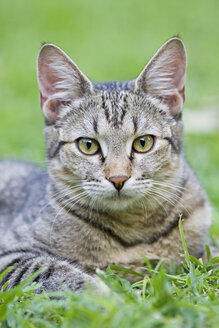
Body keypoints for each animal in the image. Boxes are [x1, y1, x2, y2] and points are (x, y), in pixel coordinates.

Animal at [0, 37, 212, 292]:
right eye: (88, 145)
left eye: (143, 142)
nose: (118, 178)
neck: (132, 232)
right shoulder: (10, 255)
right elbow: (55, 271)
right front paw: (107, 297)